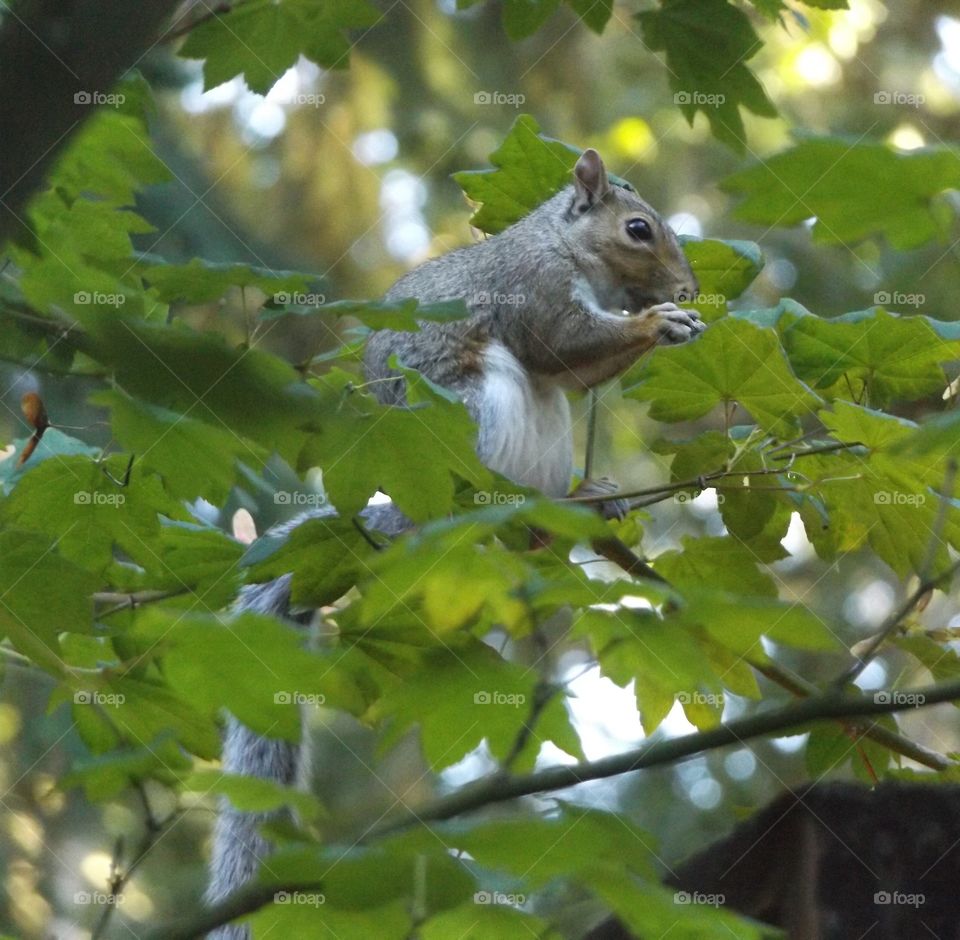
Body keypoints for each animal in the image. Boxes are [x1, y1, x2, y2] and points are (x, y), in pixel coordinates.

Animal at [206, 148, 702, 937]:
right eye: (637, 229)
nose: (689, 289)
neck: (567, 248)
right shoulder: (533, 289)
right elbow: (563, 342)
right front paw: (659, 322)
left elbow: (572, 368)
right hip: (471, 414)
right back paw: (529, 510)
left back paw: (584, 499)